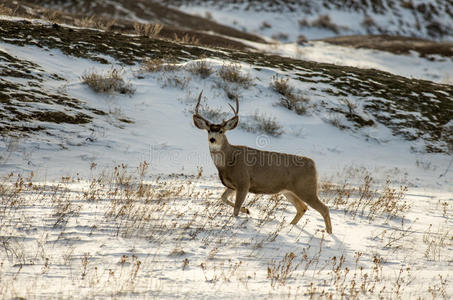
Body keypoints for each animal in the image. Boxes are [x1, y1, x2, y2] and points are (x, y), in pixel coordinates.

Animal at [192, 91, 332, 234]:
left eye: (221, 131)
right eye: (209, 130)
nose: (212, 139)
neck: (228, 161)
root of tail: (314, 165)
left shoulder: (244, 182)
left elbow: (235, 209)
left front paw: (240, 216)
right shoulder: (232, 185)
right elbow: (223, 198)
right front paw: (247, 210)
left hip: (307, 188)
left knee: (324, 208)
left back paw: (328, 233)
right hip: (289, 191)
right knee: (302, 207)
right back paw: (290, 226)